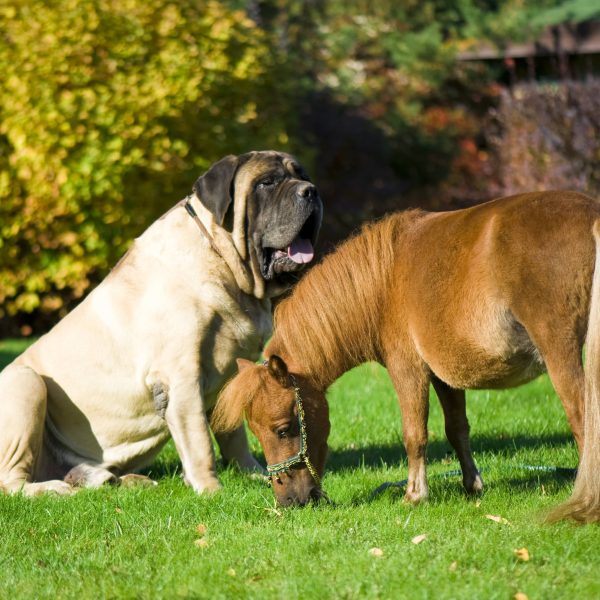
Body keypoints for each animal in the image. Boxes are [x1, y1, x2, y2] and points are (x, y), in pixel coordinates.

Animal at [0, 151, 324, 496]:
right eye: (267, 183)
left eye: (302, 175)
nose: (310, 191)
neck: (223, 262)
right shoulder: (181, 377)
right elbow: (199, 440)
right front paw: (211, 489)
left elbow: (233, 432)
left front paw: (252, 473)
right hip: (24, 382)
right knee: (12, 481)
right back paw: (52, 489)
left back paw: (116, 479)